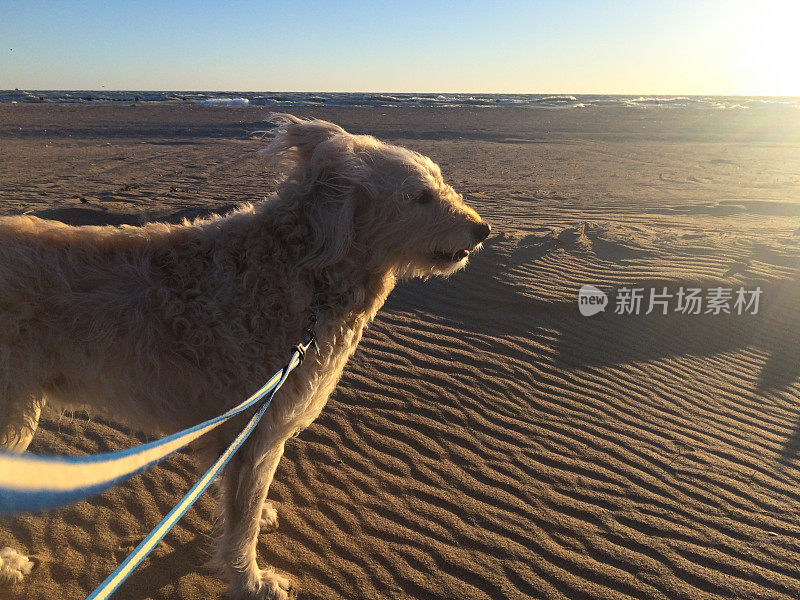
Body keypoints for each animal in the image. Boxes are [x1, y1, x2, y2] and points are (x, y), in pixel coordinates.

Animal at [0, 115, 488, 596]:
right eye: (420, 196)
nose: (483, 230)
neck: (305, 274)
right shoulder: (256, 432)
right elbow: (242, 521)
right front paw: (250, 580)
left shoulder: (240, 432)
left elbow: (242, 505)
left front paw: (258, 530)